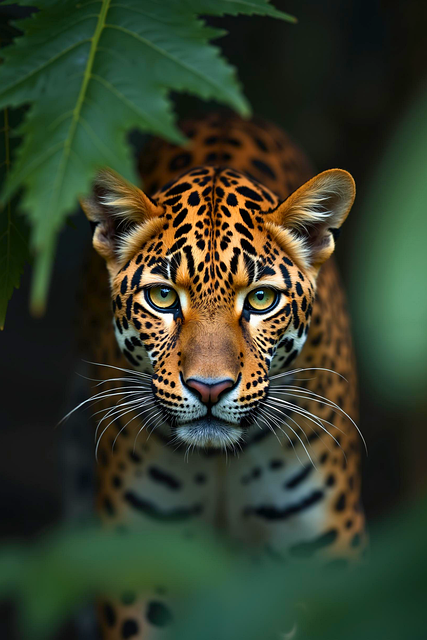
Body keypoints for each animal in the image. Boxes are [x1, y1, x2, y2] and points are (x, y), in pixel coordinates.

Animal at [77, 112, 365, 639]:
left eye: (261, 300)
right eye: (163, 297)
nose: (208, 388)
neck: (221, 463)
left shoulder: (326, 551)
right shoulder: (138, 561)